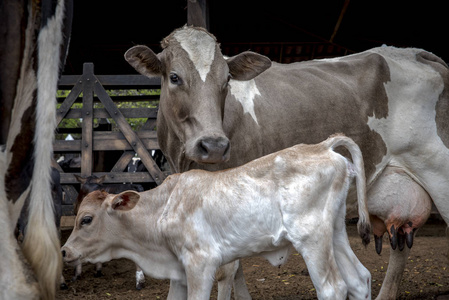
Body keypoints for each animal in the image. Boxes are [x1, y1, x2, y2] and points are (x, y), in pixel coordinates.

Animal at [62, 135, 372, 300]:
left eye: (86, 219)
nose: (64, 251)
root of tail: (321, 146)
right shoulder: (179, 272)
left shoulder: (202, 263)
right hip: (335, 232)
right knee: (359, 279)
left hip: (311, 238)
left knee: (333, 288)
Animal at [124, 26, 448, 300]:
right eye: (174, 77)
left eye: (226, 79)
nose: (213, 144)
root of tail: (417, 53)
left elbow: (227, 271)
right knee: (400, 248)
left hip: (439, 175)